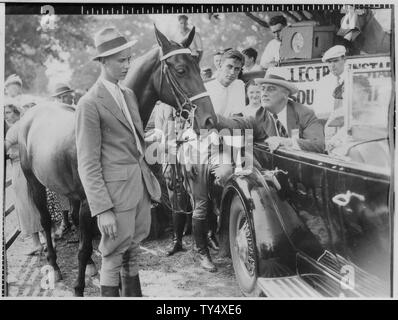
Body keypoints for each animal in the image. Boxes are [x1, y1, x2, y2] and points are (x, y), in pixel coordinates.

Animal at [17, 26, 218, 296]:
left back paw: (90, 267)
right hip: (34, 183)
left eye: (198, 65)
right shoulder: (92, 204)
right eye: (180, 70)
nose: (209, 119)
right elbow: (84, 249)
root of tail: (32, 112)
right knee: (46, 223)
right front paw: (79, 288)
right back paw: (55, 266)